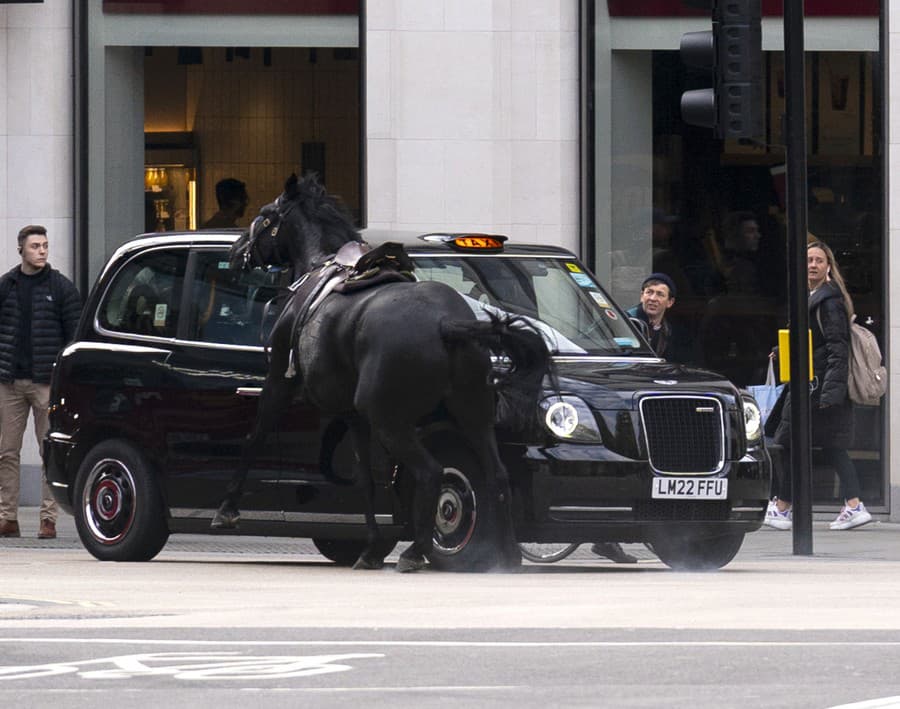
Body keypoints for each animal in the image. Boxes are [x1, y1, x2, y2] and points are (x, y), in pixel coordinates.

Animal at [213, 174, 548, 572]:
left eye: (265, 215)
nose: (236, 252)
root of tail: (446, 324)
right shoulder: (353, 414)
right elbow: (367, 481)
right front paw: (371, 547)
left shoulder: (281, 380)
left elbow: (255, 437)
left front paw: (227, 509)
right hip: (472, 414)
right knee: (496, 474)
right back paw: (507, 554)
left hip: (390, 420)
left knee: (431, 473)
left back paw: (416, 551)